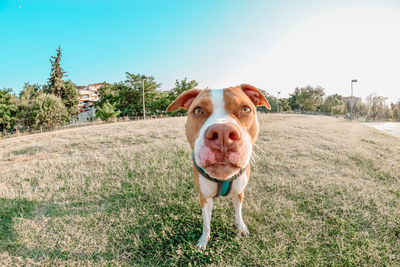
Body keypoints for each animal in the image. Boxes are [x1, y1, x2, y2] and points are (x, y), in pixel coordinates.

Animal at [166, 84, 272, 249]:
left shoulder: (239, 193)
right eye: (198, 111)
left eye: (246, 109)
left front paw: (241, 227)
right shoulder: (204, 198)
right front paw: (204, 240)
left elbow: (238, 212)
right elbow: (206, 223)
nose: (223, 133)